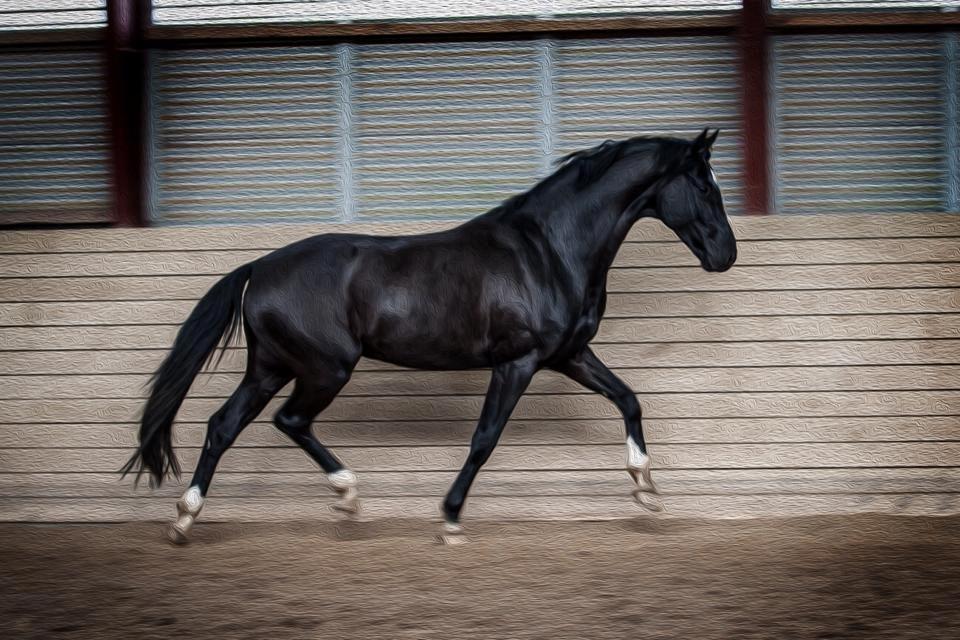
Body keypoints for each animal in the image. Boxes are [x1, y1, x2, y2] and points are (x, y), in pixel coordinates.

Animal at [120, 127, 736, 544]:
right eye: (704, 187)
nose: (726, 255)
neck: (548, 250)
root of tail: (258, 267)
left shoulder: (569, 355)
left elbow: (628, 399)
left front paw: (645, 488)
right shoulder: (518, 361)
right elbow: (484, 439)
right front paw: (450, 519)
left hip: (270, 367)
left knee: (224, 425)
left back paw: (186, 519)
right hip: (323, 369)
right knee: (288, 421)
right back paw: (346, 497)